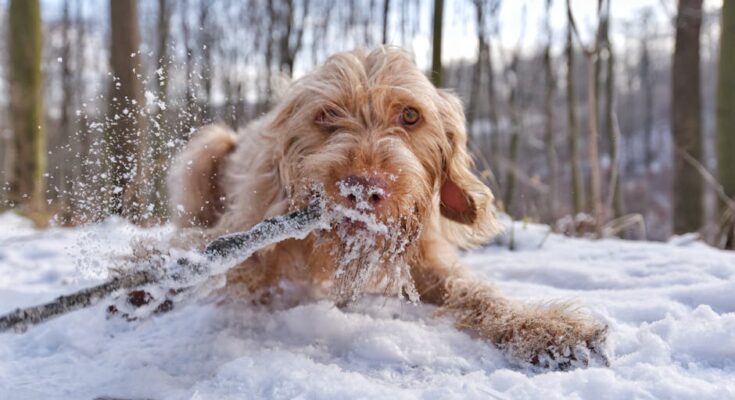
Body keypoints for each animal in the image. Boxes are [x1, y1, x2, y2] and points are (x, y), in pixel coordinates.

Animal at [168, 46, 608, 368]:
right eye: (326, 116)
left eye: (410, 115)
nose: (364, 188)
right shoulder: (248, 232)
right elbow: (221, 254)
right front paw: (162, 269)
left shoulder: (428, 265)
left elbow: (478, 293)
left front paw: (543, 327)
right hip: (209, 143)